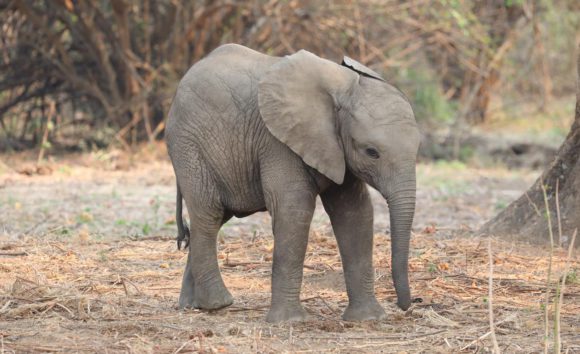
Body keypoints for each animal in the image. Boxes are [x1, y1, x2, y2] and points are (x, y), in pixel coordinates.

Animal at [165, 44, 420, 324]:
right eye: (371, 152)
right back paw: (218, 304)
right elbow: (294, 210)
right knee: (208, 214)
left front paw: (368, 319)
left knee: (215, 218)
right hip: (189, 145)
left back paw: (193, 305)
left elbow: (355, 214)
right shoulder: (276, 141)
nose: (407, 305)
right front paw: (290, 322)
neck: (343, 88)